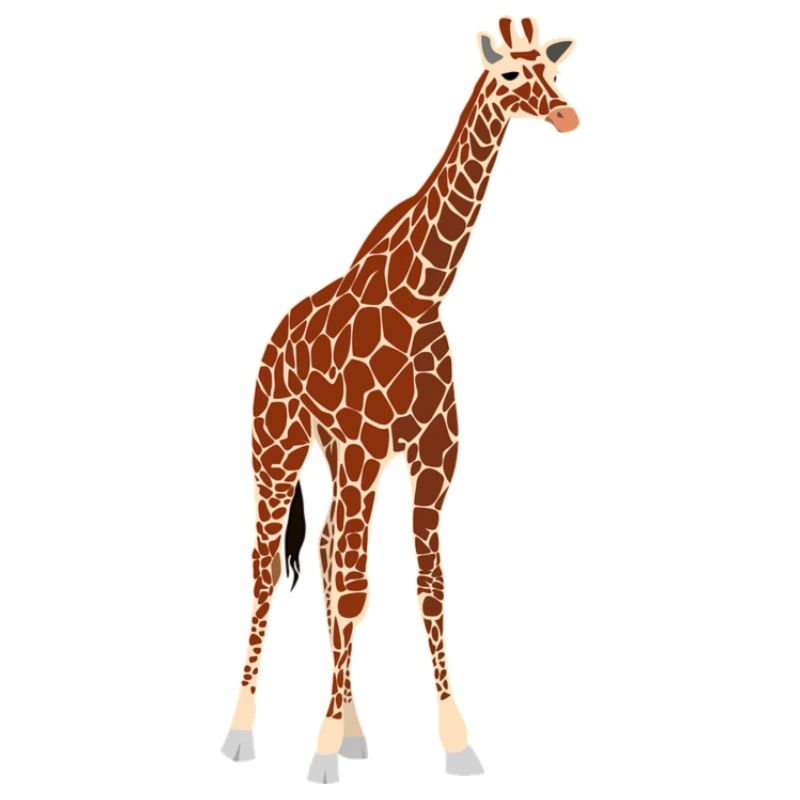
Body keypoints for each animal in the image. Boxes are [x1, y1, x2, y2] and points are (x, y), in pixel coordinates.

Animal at [221, 16, 579, 783]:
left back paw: (354, 727)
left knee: (328, 550)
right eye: (510, 75)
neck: (419, 299)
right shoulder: (365, 446)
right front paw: (320, 751)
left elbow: (428, 586)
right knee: (269, 567)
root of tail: (273, 339)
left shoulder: (434, 455)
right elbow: (356, 587)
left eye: (557, 73)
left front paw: (455, 741)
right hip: (279, 445)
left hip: (338, 454)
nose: (566, 115)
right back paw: (242, 729)